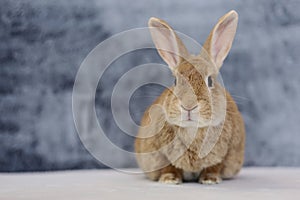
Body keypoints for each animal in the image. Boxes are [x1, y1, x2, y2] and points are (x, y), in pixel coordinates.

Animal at [135, 9, 245, 184]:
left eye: (210, 81)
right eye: (175, 81)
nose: (188, 106)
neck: (192, 129)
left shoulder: (223, 155)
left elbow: (214, 166)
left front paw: (210, 179)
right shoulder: (161, 155)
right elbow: (168, 166)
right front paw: (169, 179)